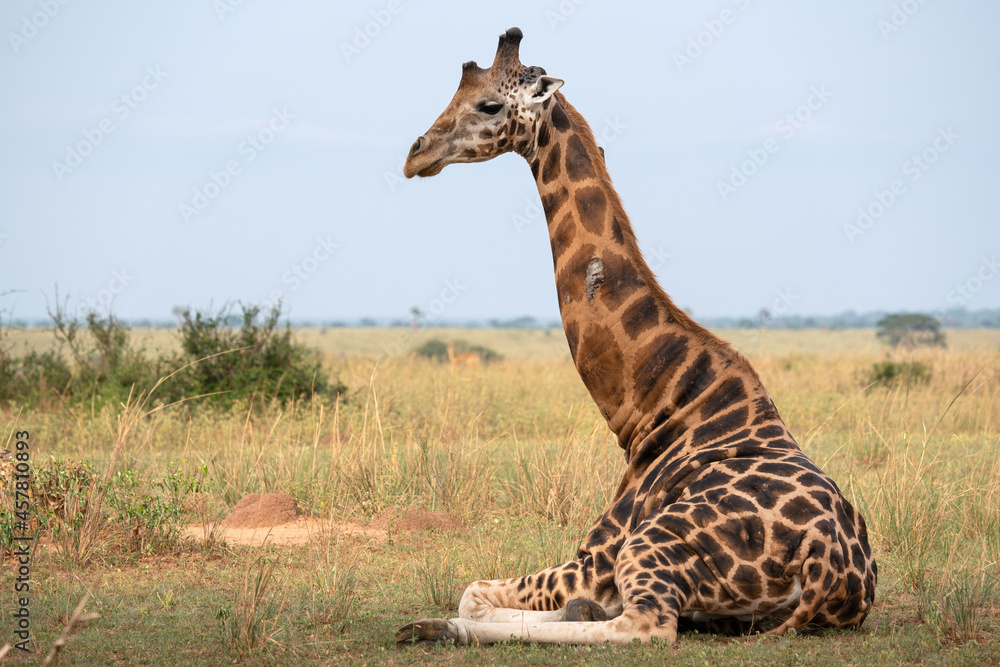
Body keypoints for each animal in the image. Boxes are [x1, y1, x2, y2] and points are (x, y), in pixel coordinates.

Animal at [396, 27, 876, 647]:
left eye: (490, 105)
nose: (417, 154)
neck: (654, 402)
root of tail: (829, 569)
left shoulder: (594, 557)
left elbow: (474, 592)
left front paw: (446, 622)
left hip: (648, 545)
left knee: (644, 626)